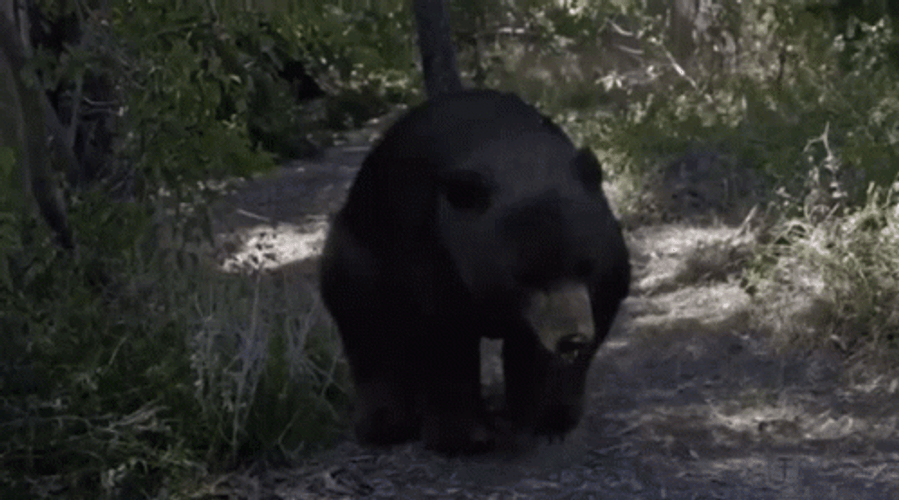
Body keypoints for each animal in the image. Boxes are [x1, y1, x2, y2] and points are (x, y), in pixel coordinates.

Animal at [319, 88, 630, 454]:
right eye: (524, 275)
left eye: (586, 266)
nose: (571, 338)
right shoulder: (427, 247)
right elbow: (443, 334)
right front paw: (465, 436)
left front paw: (549, 417)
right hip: (357, 254)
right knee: (369, 328)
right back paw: (385, 424)